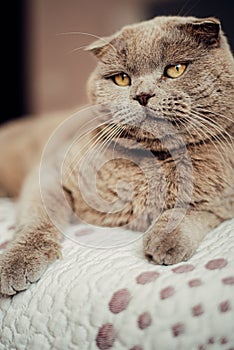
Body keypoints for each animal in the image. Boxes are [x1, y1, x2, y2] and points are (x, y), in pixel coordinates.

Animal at [0, 15, 234, 296]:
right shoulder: (50, 171)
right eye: (122, 79)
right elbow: (38, 218)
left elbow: (199, 208)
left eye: (176, 69)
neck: (151, 161)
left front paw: (165, 240)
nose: (142, 95)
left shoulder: (225, 194)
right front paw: (16, 263)